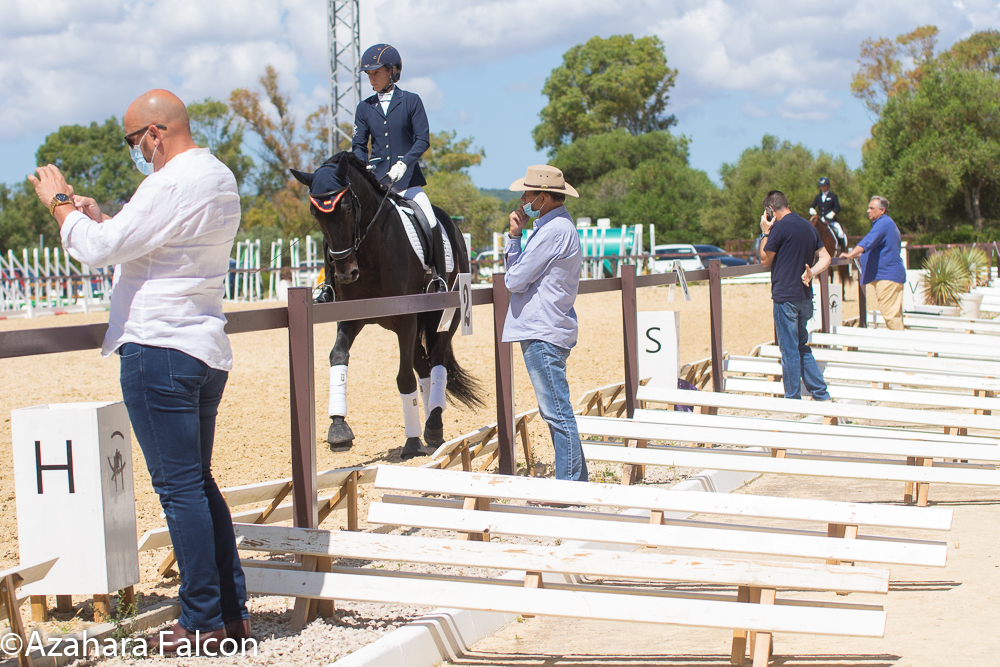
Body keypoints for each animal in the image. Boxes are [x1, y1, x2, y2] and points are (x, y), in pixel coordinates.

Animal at [292, 154, 482, 462]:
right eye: (314, 213)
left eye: (346, 207)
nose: (346, 273)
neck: (370, 251)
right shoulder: (352, 317)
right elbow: (338, 356)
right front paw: (338, 429)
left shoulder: (405, 319)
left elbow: (404, 378)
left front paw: (412, 442)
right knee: (424, 365)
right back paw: (430, 421)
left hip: (443, 317)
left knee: (438, 361)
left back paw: (433, 425)